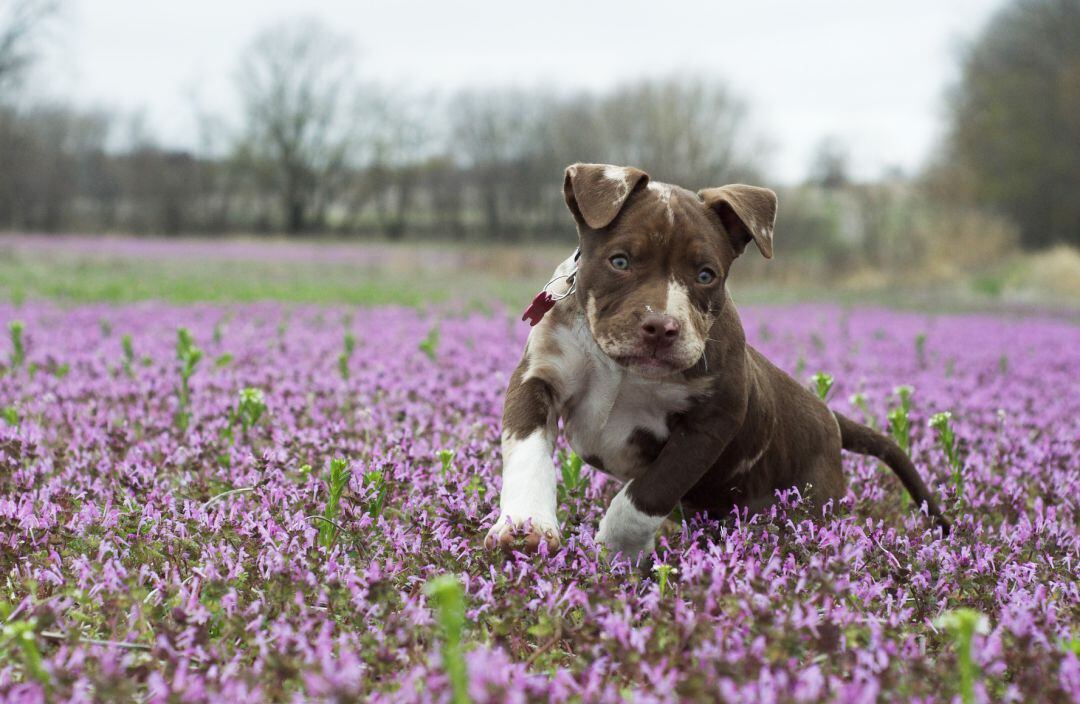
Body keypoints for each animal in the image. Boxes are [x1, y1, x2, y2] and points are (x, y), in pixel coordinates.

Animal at [486, 160, 950, 561]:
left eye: (705, 274)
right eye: (620, 261)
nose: (661, 327)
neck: (621, 370)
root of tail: (829, 416)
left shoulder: (713, 419)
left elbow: (647, 493)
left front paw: (615, 551)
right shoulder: (538, 377)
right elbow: (527, 452)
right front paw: (526, 526)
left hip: (812, 496)